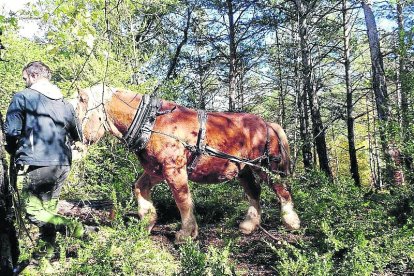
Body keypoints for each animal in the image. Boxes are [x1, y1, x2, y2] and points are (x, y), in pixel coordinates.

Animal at [75, 85, 300, 243]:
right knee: (254, 192)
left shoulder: (174, 169)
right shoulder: (156, 170)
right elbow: (139, 188)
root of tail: (267, 123)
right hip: (242, 169)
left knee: (281, 190)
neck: (152, 122)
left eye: (78, 114)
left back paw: (291, 221)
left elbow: (182, 199)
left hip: (265, 167)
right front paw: (147, 221)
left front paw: (186, 233)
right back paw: (249, 224)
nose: (74, 147)